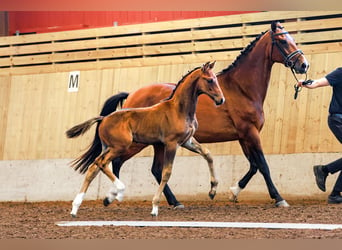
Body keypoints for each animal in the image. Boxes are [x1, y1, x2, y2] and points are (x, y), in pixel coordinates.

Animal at [66, 61, 224, 217]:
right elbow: (166, 172)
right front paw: (155, 207)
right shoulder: (171, 144)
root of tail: (103, 118)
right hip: (120, 147)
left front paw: (212, 191)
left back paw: (77, 207)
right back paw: (118, 192)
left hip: (109, 147)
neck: (179, 110)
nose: (220, 99)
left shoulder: (187, 141)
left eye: (216, 79)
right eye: (210, 80)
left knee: (94, 167)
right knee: (102, 163)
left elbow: (208, 154)